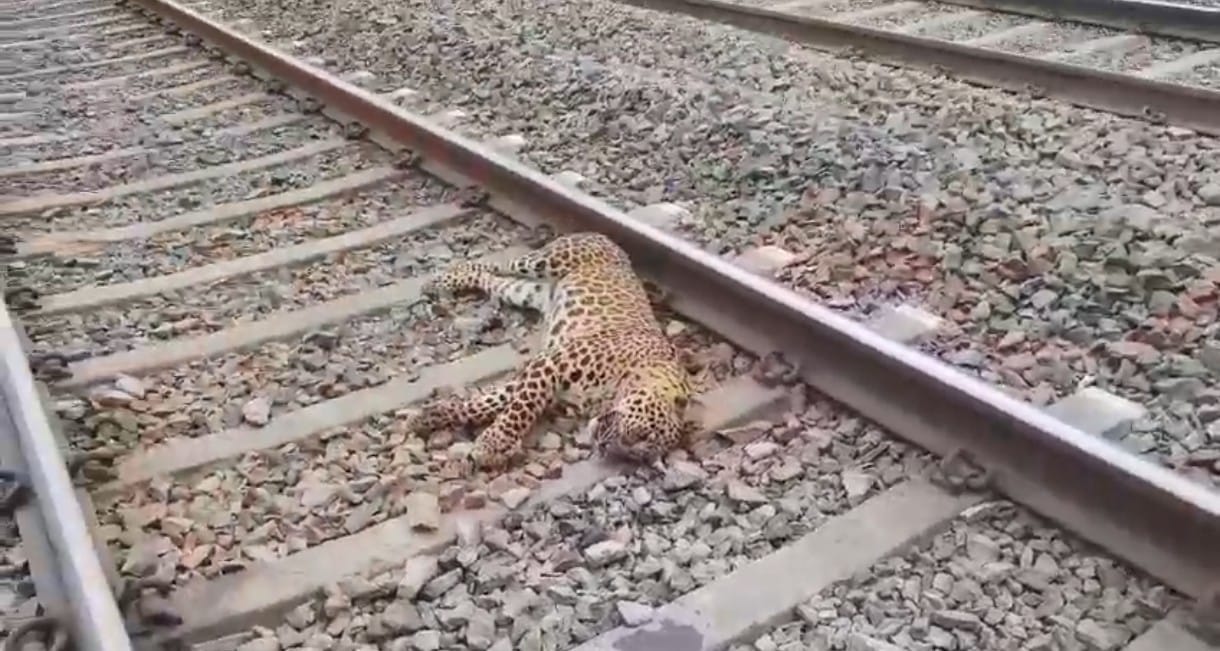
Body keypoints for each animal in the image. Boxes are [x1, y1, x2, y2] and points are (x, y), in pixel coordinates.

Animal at [408, 231, 696, 474]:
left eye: (634, 455)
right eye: (641, 433)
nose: (606, 447)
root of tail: (613, 242)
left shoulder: (546, 380)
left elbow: (492, 401)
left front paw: (433, 415)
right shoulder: (550, 364)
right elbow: (519, 410)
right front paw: (492, 444)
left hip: (523, 291)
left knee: (492, 279)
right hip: (544, 261)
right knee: (494, 265)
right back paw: (439, 281)